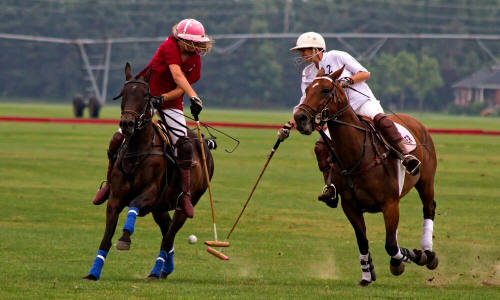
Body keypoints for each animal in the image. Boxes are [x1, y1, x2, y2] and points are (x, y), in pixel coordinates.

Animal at [84, 63, 213, 282]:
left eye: (145, 95)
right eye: (123, 93)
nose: (127, 124)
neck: (137, 151)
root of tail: (204, 141)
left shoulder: (150, 194)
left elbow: (134, 205)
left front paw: (125, 238)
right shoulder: (115, 199)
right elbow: (106, 238)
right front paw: (93, 272)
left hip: (184, 204)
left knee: (169, 236)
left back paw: (155, 272)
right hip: (160, 208)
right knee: (167, 232)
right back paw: (165, 269)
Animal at [292, 67, 438, 288]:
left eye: (325, 90)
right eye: (307, 89)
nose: (300, 117)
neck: (358, 154)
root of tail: (415, 122)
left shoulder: (389, 203)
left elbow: (390, 245)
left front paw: (413, 255)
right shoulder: (350, 206)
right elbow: (364, 241)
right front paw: (367, 275)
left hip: (426, 182)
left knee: (428, 209)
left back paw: (428, 253)